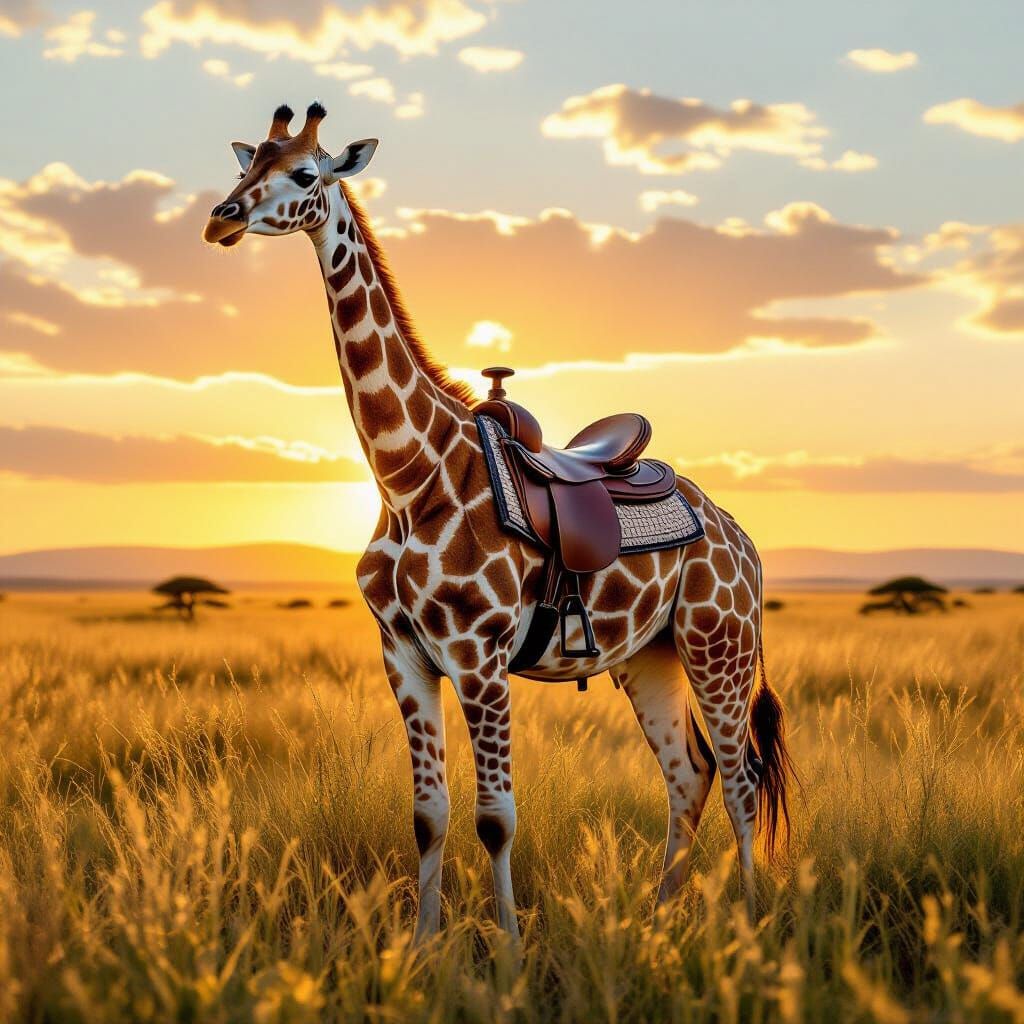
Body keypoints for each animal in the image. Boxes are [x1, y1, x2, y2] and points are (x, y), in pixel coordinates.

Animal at [204, 102, 796, 942]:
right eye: (245, 163)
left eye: (306, 174)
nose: (221, 219)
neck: (407, 477)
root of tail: (740, 534)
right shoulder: (404, 655)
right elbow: (428, 814)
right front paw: (423, 946)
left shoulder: (479, 655)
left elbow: (496, 818)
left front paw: (511, 949)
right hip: (648, 655)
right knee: (689, 777)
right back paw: (655, 922)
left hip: (721, 641)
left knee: (742, 779)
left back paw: (745, 927)